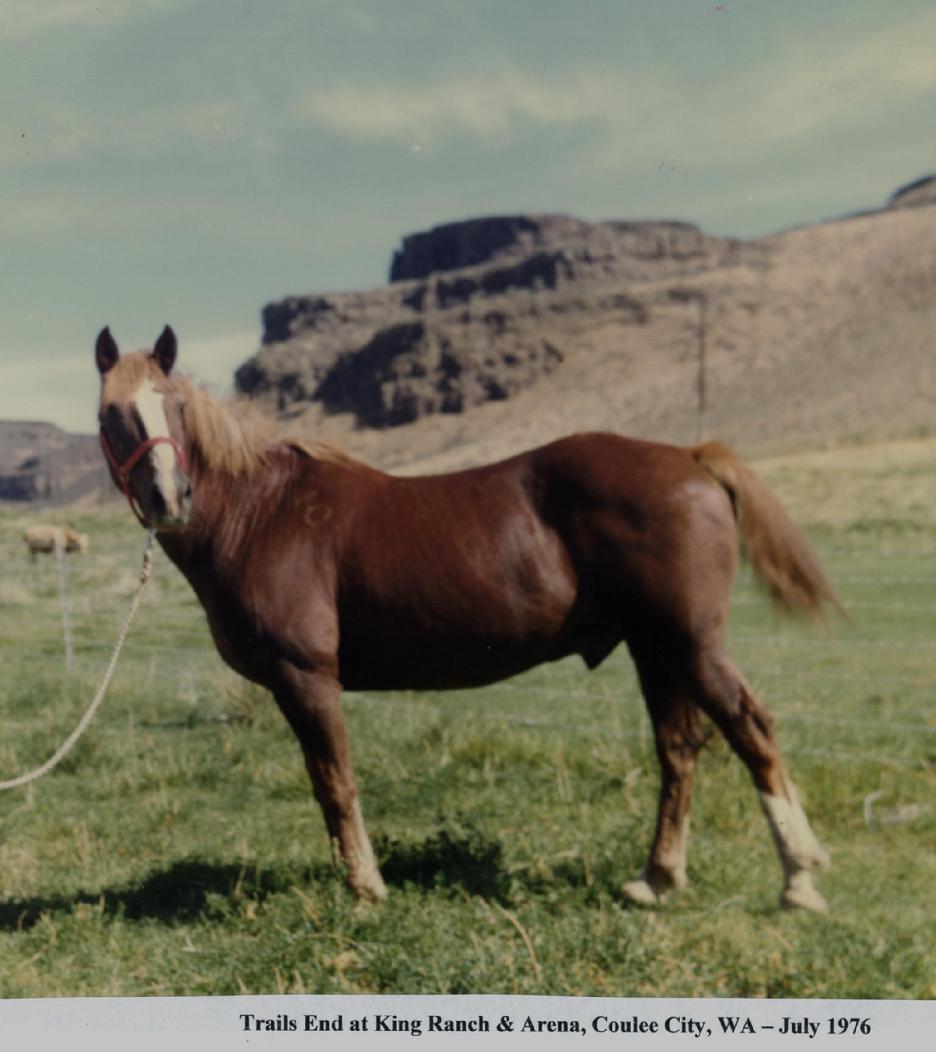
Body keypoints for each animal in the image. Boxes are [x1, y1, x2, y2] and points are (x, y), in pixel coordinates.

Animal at [96, 326, 837, 913]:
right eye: (110, 415)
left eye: (176, 406)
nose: (169, 498)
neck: (263, 513)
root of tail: (688, 458)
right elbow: (325, 783)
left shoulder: (306, 677)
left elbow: (335, 781)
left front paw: (365, 886)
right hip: (655, 649)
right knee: (680, 749)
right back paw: (655, 879)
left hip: (689, 644)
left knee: (751, 732)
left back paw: (798, 879)